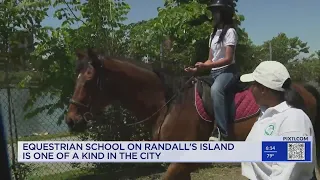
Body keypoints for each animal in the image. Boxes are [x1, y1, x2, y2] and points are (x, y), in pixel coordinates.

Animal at [65, 48, 320, 179]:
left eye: (89, 80)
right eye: (75, 78)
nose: (71, 120)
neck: (169, 104)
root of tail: (302, 88)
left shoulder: (184, 162)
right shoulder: (179, 163)